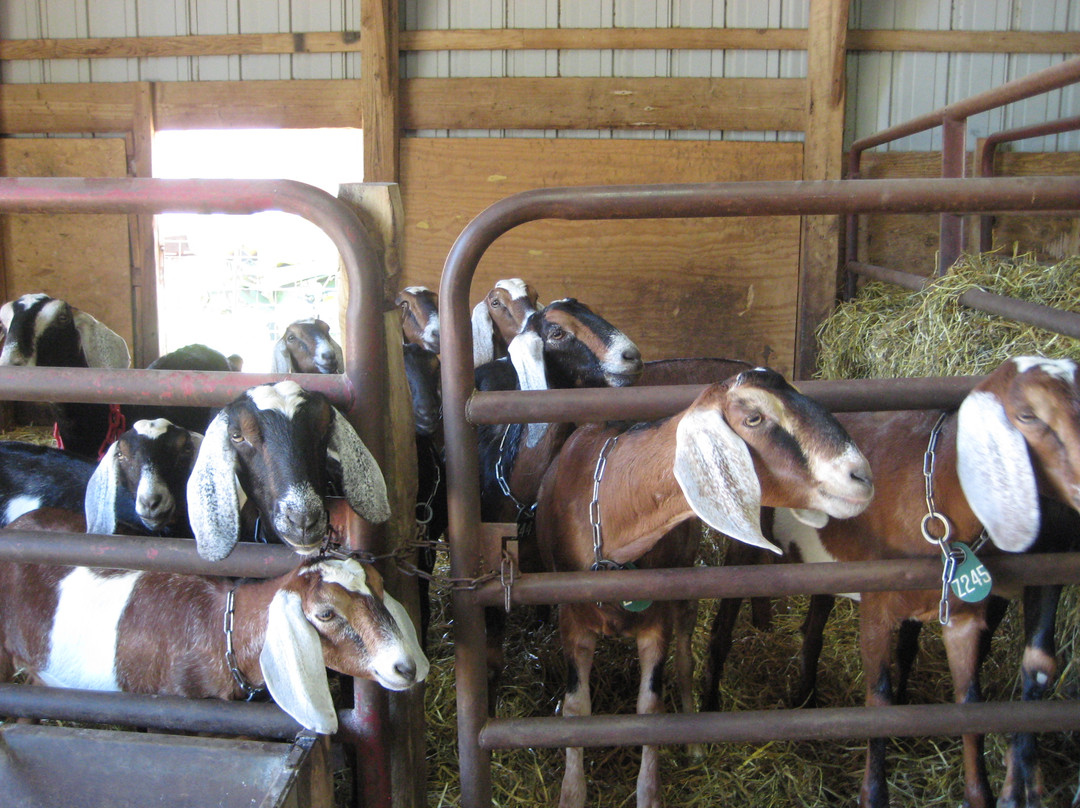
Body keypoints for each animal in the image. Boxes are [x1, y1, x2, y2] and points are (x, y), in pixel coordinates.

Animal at [534, 367, 874, 808]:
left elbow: (650, 707)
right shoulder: (571, 620)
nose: (861, 475)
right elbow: (576, 711)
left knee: (685, 660)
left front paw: (650, 791)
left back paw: (695, 740)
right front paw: (572, 793)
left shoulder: (656, 622)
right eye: (754, 418)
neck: (613, 510)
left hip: (684, 596)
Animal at [752, 356, 1080, 808]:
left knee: (816, 621)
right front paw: (873, 794)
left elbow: (973, 701)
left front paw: (984, 794)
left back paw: (806, 695)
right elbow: (879, 700)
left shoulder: (965, 617)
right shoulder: (876, 609)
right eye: (1028, 415)